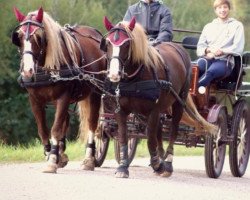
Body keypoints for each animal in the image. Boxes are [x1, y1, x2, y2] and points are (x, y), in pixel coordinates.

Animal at [11, 7, 106, 173]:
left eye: (38, 37)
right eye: (20, 36)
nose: (28, 71)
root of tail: (96, 34)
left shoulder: (63, 97)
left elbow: (55, 129)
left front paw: (52, 161)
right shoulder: (35, 100)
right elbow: (43, 130)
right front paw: (51, 154)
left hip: (95, 93)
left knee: (92, 123)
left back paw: (89, 159)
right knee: (65, 122)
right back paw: (61, 153)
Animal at [101, 16, 217, 177]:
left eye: (127, 44)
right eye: (107, 43)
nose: (113, 74)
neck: (135, 78)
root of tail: (179, 49)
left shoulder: (154, 110)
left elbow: (150, 138)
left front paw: (157, 164)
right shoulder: (121, 110)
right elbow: (124, 135)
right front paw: (123, 167)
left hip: (178, 103)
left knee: (173, 130)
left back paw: (167, 162)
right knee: (160, 130)